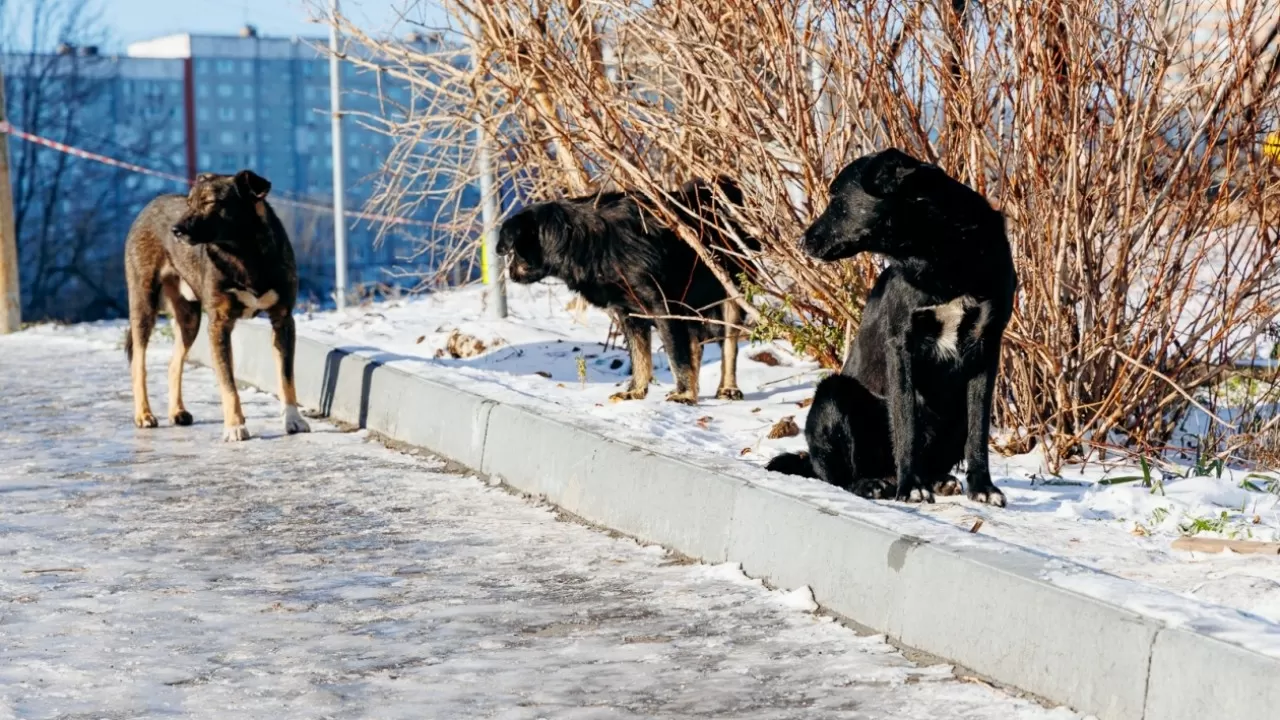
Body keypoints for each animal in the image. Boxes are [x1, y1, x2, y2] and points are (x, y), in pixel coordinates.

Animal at [124, 170, 309, 440]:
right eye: (189, 203)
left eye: (210, 202)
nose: (175, 230)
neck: (245, 253)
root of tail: (150, 205)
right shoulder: (219, 324)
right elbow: (228, 384)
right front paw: (234, 426)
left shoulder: (283, 320)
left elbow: (287, 377)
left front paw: (293, 419)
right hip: (143, 305)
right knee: (138, 364)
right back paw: (144, 414)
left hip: (190, 319)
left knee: (173, 363)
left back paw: (177, 411)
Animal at [496, 175, 757, 404]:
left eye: (513, 251)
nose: (510, 272)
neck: (581, 240)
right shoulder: (630, 314)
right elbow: (640, 355)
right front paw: (636, 390)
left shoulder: (663, 309)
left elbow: (677, 355)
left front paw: (683, 394)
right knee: (695, 345)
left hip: (729, 296)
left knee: (728, 345)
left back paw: (727, 388)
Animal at [762, 147, 1013, 502]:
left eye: (837, 198)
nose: (801, 242)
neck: (939, 251)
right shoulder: (901, 346)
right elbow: (905, 423)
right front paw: (912, 487)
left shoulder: (986, 345)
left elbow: (978, 431)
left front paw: (983, 487)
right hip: (833, 392)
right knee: (838, 476)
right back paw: (874, 484)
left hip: (953, 412)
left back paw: (938, 480)